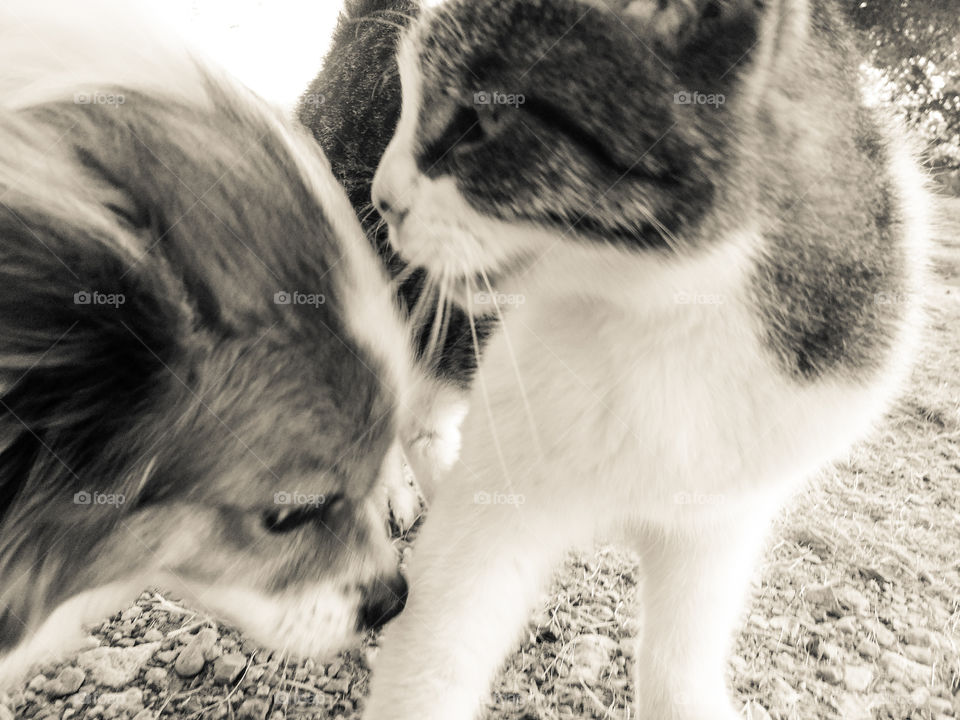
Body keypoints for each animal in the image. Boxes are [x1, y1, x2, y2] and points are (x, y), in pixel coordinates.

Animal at [330, 0, 928, 716]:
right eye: (408, 95)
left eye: (480, 121)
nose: (385, 195)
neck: (667, 310)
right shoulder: (491, 516)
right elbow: (437, 654)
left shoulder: (722, 517)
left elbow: (681, 656)